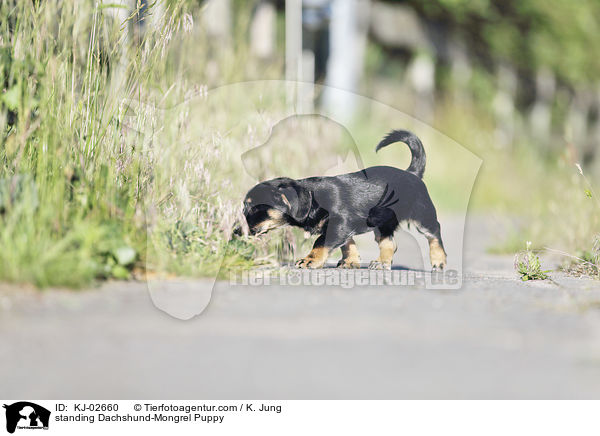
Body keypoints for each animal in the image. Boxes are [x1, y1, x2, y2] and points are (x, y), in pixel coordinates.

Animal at [240, 129, 446, 270]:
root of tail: (412, 173)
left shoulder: (339, 223)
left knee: (434, 232)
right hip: (382, 223)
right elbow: (348, 244)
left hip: (422, 215)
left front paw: (310, 260)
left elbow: (321, 241)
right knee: (389, 243)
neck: (313, 199)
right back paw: (381, 263)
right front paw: (351, 261)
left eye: (253, 208)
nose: (238, 232)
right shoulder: (344, 228)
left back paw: (438, 260)